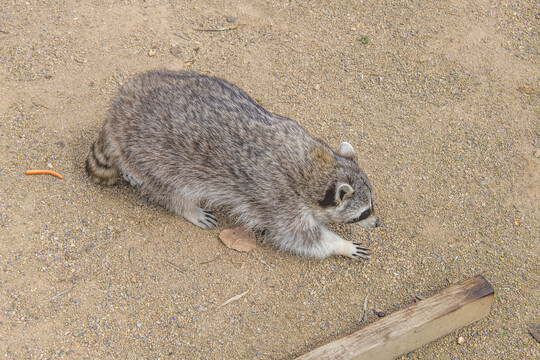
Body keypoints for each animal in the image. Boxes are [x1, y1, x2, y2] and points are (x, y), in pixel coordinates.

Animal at [86, 70, 380, 260]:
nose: (377, 223)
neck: (315, 166)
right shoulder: (278, 199)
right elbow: (300, 238)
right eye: (363, 213)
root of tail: (119, 106)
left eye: (371, 205)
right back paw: (187, 208)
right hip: (156, 154)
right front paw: (341, 246)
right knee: (172, 189)